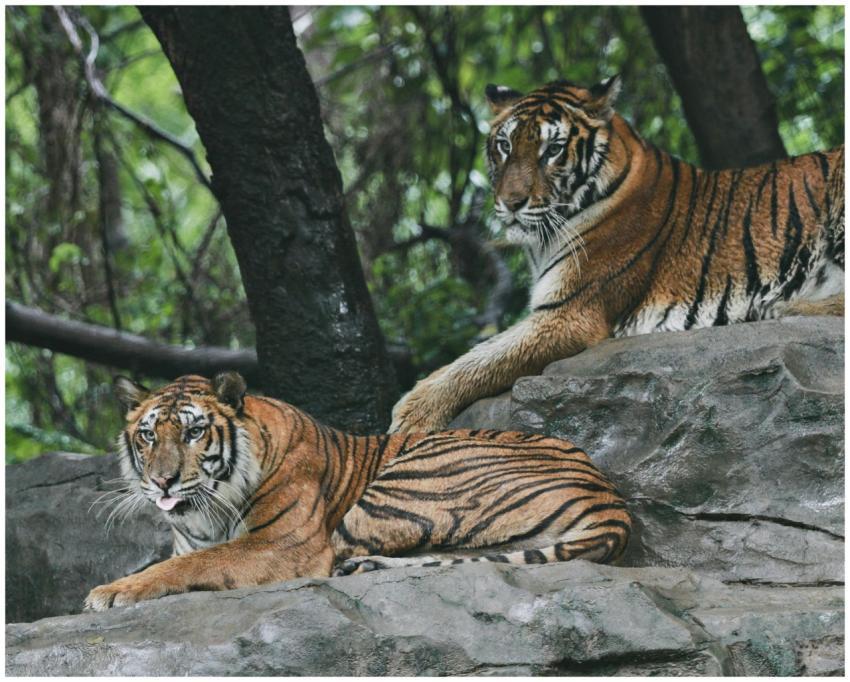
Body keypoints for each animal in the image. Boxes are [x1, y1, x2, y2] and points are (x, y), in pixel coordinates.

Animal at [84, 372, 631, 611]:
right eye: (148, 435)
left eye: (195, 432)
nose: (162, 480)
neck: (205, 512)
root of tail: (612, 499)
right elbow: (184, 558)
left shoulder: (285, 546)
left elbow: (192, 564)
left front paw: (109, 592)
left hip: (398, 487)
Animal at [389, 76, 844, 433]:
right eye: (504, 146)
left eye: (552, 151)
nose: (511, 203)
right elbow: (477, 355)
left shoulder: (568, 313)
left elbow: (477, 360)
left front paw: (408, 415)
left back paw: (783, 306)